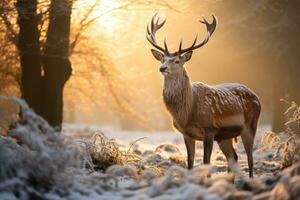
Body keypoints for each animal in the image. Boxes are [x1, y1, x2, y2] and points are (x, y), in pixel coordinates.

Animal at [146, 13, 262, 177]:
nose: (162, 68)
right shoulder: (187, 134)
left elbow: (206, 162)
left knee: (250, 159)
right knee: (234, 157)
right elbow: (190, 163)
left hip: (250, 126)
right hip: (225, 136)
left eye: (177, 60)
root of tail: (256, 96)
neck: (187, 113)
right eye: (163, 59)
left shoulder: (209, 129)